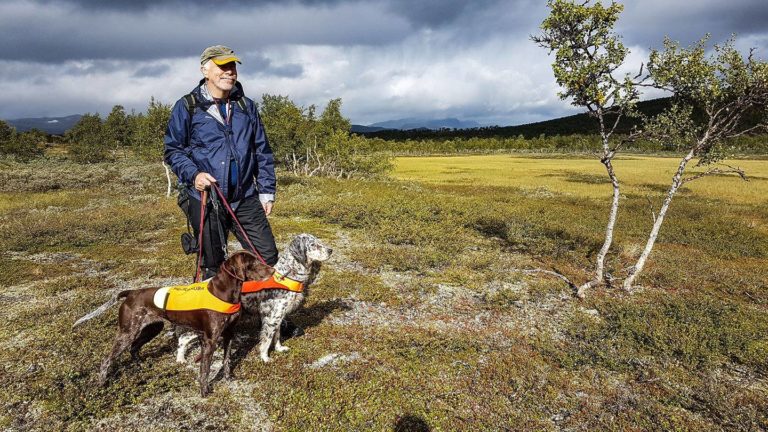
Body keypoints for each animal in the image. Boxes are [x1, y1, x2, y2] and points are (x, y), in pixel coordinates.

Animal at [75, 251, 272, 396]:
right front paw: (204, 391)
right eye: (253, 263)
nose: (272, 271)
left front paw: (228, 378)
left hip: (152, 328)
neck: (223, 292)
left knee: (134, 348)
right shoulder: (209, 340)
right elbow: (205, 369)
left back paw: (141, 366)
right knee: (107, 360)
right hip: (127, 332)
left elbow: (227, 360)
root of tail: (130, 293)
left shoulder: (229, 334)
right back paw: (101, 384)